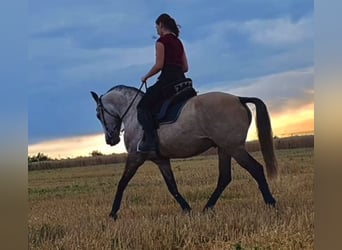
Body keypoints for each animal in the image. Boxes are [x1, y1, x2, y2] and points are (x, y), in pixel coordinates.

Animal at [91, 85, 278, 220]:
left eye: (98, 114)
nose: (110, 139)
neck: (133, 115)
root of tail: (239, 99)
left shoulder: (135, 157)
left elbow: (122, 183)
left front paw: (112, 214)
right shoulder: (161, 160)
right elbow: (171, 186)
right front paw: (187, 209)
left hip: (234, 148)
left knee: (256, 169)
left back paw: (271, 203)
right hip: (224, 149)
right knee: (225, 177)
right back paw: (207, 208)